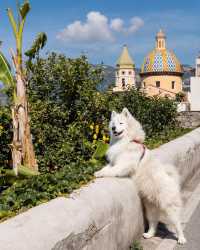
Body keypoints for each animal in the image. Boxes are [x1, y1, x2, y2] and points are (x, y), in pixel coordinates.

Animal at [94, 107, 187, 244]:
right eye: (113, 124)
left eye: (121, 123)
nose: (114, 129)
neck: (127, 141)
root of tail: (171, 180)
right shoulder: (114, 161)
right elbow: (107, 167)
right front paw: (98, 172)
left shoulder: (123, 164)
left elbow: (113, 170)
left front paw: (101, 174)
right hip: (151, 207)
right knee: (153, 222)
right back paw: (149, 234)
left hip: (169, 206)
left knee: (177, 223)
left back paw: (181, 238)